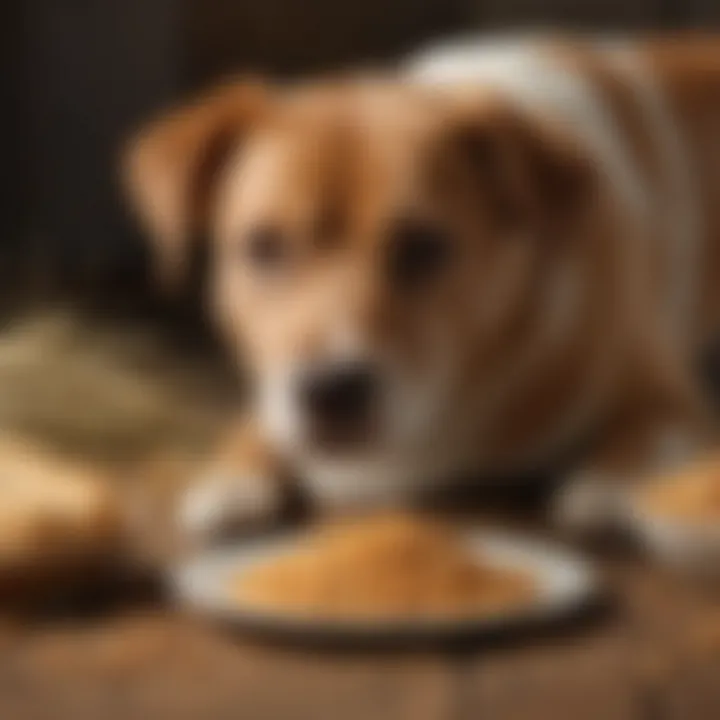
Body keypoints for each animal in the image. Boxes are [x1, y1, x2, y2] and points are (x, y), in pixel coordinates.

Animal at [124, 35, 720, 540]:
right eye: (264, 245)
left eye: (424, 246)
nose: (331, 391)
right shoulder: (276, 386)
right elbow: (257, 424)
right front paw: (228, 478)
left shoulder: (668, 398)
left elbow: (641, 438)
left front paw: (607, 486)